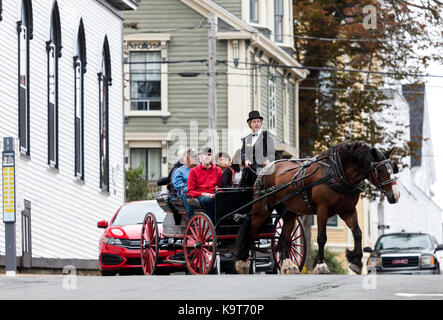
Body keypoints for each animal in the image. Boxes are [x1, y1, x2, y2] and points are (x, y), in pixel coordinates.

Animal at [234, 141, 400, 274]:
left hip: (289, 213)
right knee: (251, 232)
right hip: (262, 209)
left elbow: (358, 233)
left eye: (393, 167)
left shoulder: (348, 210)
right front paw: (321, 265)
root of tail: (264, 170)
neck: (338, 174)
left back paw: (288, 265)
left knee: (284, 240)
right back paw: (242, 262)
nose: (396, 195)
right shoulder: (322, 209)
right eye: (381, 170)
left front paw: (356, 262)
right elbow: (322, 238)